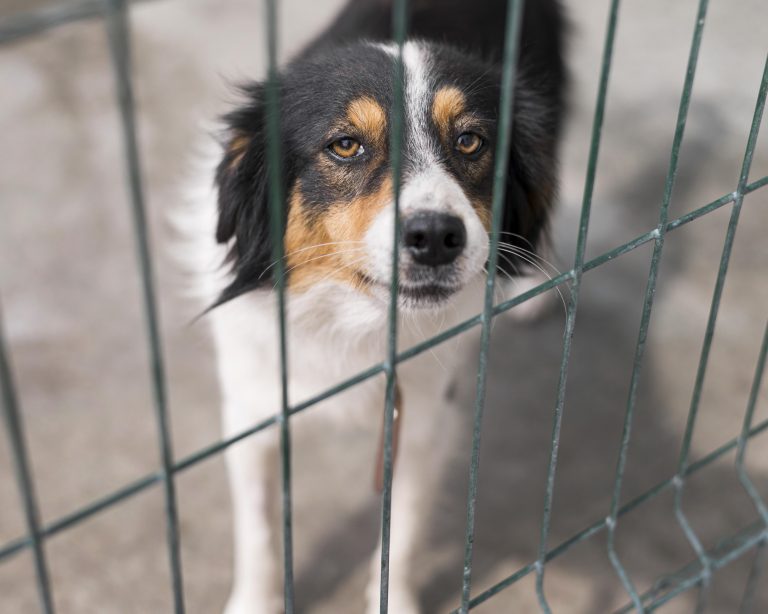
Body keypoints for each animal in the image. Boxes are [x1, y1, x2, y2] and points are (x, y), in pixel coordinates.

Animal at [184, 0, 568, 612]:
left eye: (470, 141)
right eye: (345, 145)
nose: (435, 237)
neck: (353, 317)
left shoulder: (424, 418)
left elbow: (403, 531)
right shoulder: (252, 407)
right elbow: (260, 529)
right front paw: (255, 602)